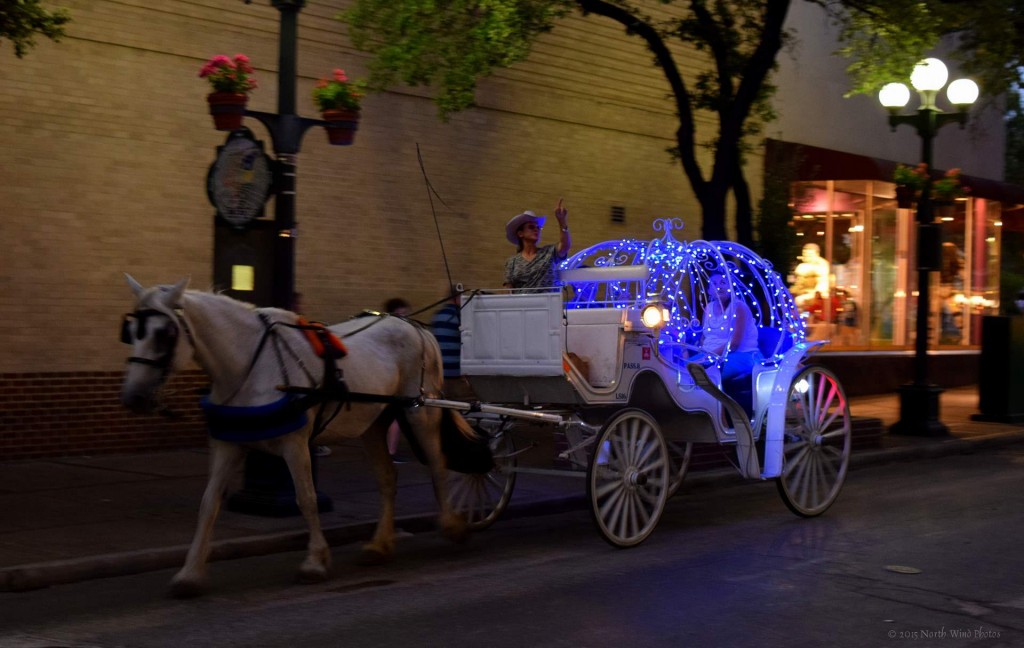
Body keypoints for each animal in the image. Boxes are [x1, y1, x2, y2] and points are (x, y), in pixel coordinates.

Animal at [117, 274, 477, 597]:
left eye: (164, 333)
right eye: (131, 332)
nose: (133, 397)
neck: (248, 365)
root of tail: (415, 326)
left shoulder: (295, 442)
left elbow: (306, 499)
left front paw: (315, 561)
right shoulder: (228, 445)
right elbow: (209, 504)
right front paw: (190, 573)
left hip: (421, 411)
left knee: (437, 464)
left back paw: (451, 524)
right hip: (374, 420)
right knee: (388, 478)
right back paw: (379, 545)